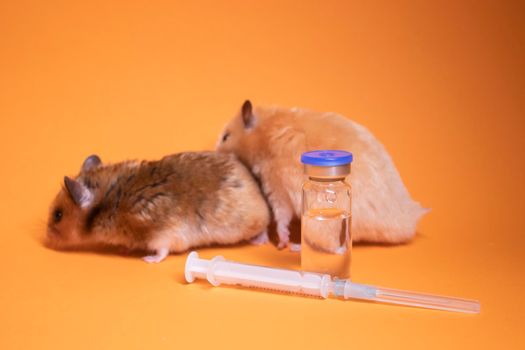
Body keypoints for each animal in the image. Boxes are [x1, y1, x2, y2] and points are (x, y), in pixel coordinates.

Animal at [46, 152, 270, 262]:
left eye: (58, 215)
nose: (46, 241)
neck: (109, 199)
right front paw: (123, 249)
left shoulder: (163, 234)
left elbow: (161, 252)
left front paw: (148, 259)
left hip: (250, 223)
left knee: (265, 225)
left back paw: (260, 240)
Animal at [215, 100, 428, 249]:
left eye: (226, 137)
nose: (216, 152)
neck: (264, 132)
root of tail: (407, 222)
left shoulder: (276, 183)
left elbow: (281, 216)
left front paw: (282, 243)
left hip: (324, 223)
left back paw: (295, 247)